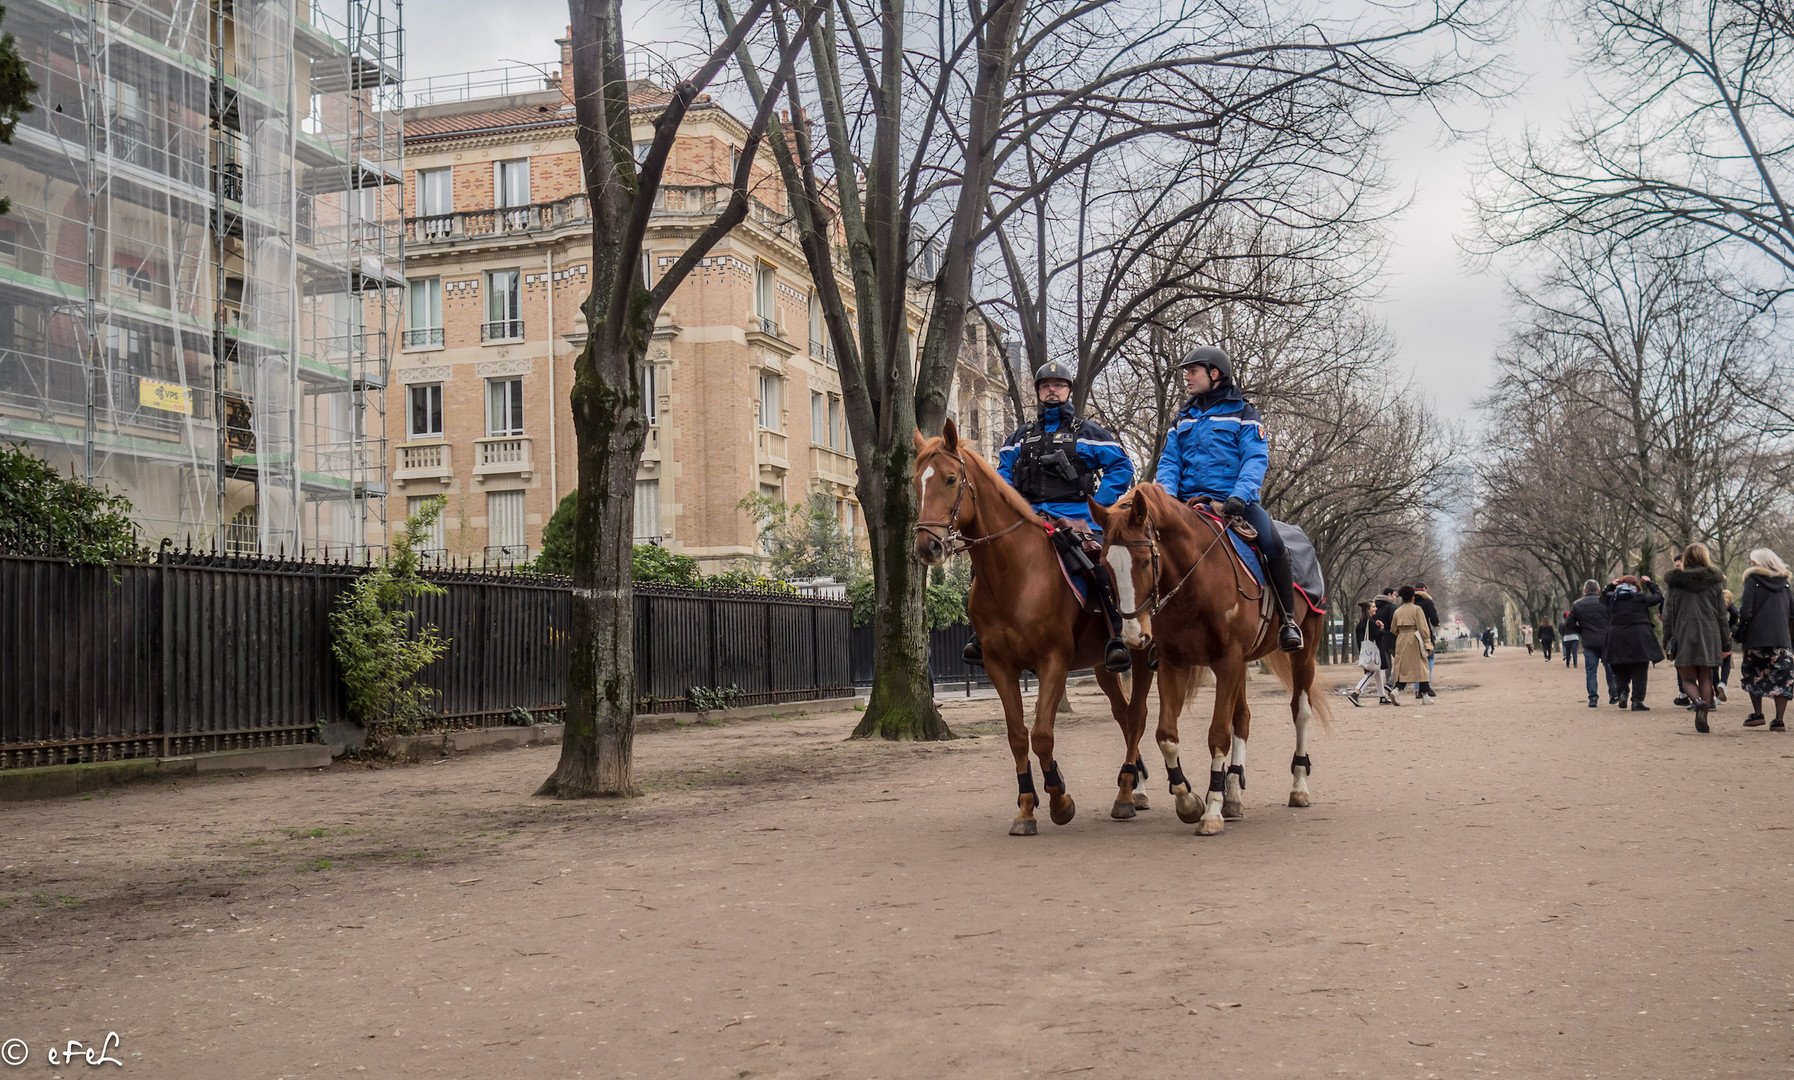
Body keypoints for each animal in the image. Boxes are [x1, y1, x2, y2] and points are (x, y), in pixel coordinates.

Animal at [918, 419, 1155, 832]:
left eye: (950, 479)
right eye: (916, 481)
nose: (926, 546)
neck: (1014, 573)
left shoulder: (1052, 662)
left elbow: (1043, 735)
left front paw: (1059, 798)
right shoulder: (999, 666)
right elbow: (1017, 736)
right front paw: (1027, 806)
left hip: (1139, 653)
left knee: (1136, 715)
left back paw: (1129, 794)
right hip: (1101, 666)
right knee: (1124, 715)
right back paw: (1134, 786)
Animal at [1083, 484, 1327, 836]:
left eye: (1143, 562)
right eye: (1104, 564)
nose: (1131, 636)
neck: (1197, 577)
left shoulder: (1227, 661)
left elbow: (1218, 734)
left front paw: (1211, 812)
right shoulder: (1175, 662)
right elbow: (1166, 735)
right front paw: (1189, 801)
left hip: (1304, 651)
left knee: (1300, 711)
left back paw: (1298, 787)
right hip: (1242, 663)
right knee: (1243, 717)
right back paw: (1234, 794)